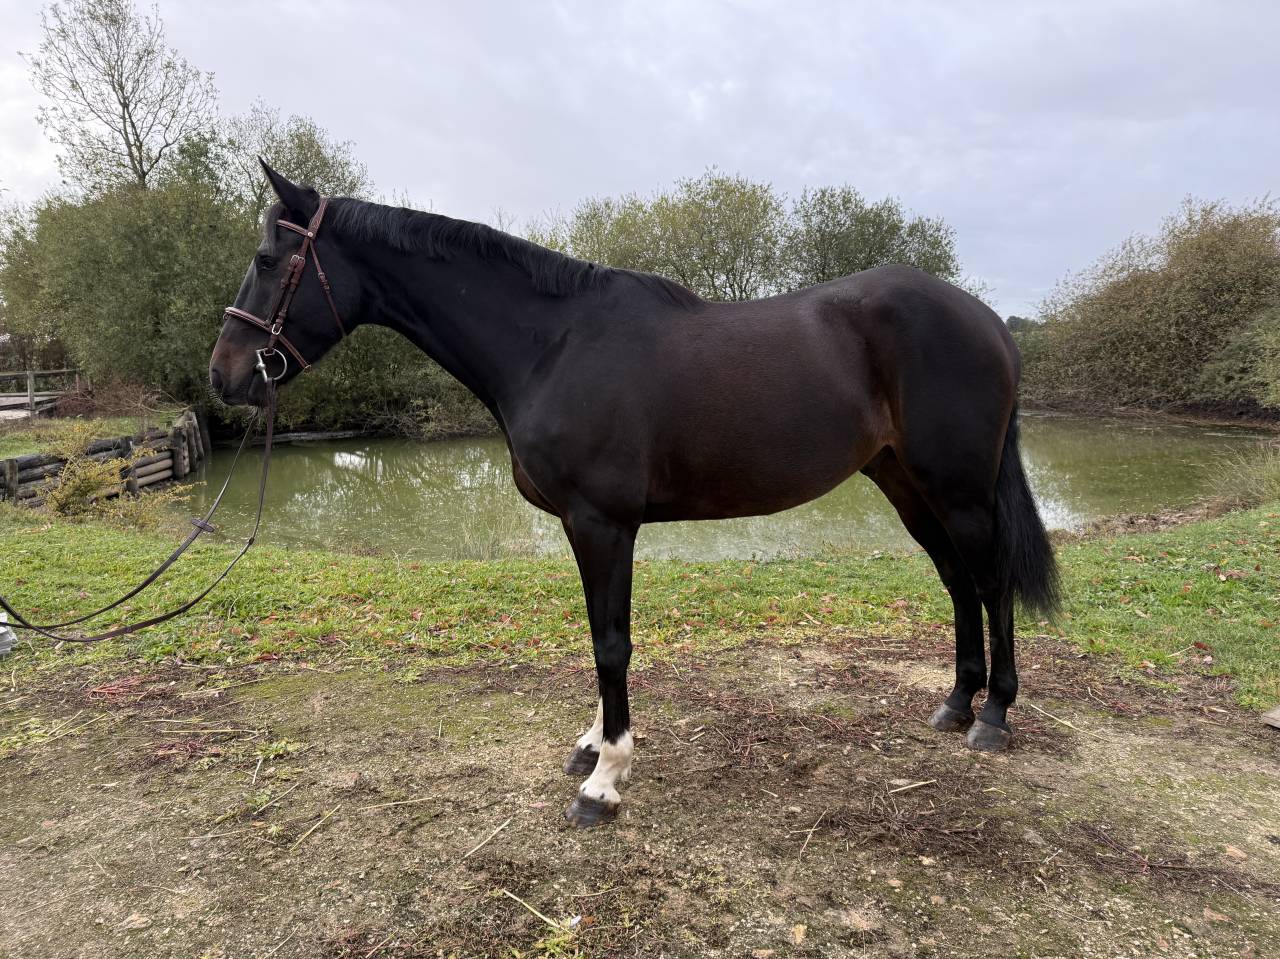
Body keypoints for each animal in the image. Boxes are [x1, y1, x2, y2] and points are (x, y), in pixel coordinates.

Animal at [209, 163, 1060, 828]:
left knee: (990, 583)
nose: (224, 375)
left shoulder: (603, 522)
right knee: (957, 583)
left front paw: (604, 780)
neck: (552, 346)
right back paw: (955, 702)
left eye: (267, 257)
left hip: (959, 489)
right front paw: (592, 745)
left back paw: (992, 715)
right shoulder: (586, 527)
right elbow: (598, 632)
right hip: (905, 483)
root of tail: (991, 323)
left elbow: (610, 643)